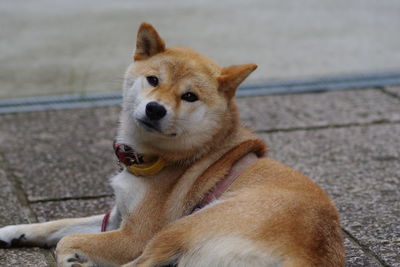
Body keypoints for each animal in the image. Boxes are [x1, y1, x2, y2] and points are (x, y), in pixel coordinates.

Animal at [0, 23, 344, 267]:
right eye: (153, 80)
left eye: (189, 96)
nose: (155, 109)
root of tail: (309, 255)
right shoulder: (117, 216)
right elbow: (58, 225)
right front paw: (13, 231)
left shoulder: (134, 236)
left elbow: (66, 240)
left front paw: (72, 256)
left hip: (182, 227)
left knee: (142, 264)